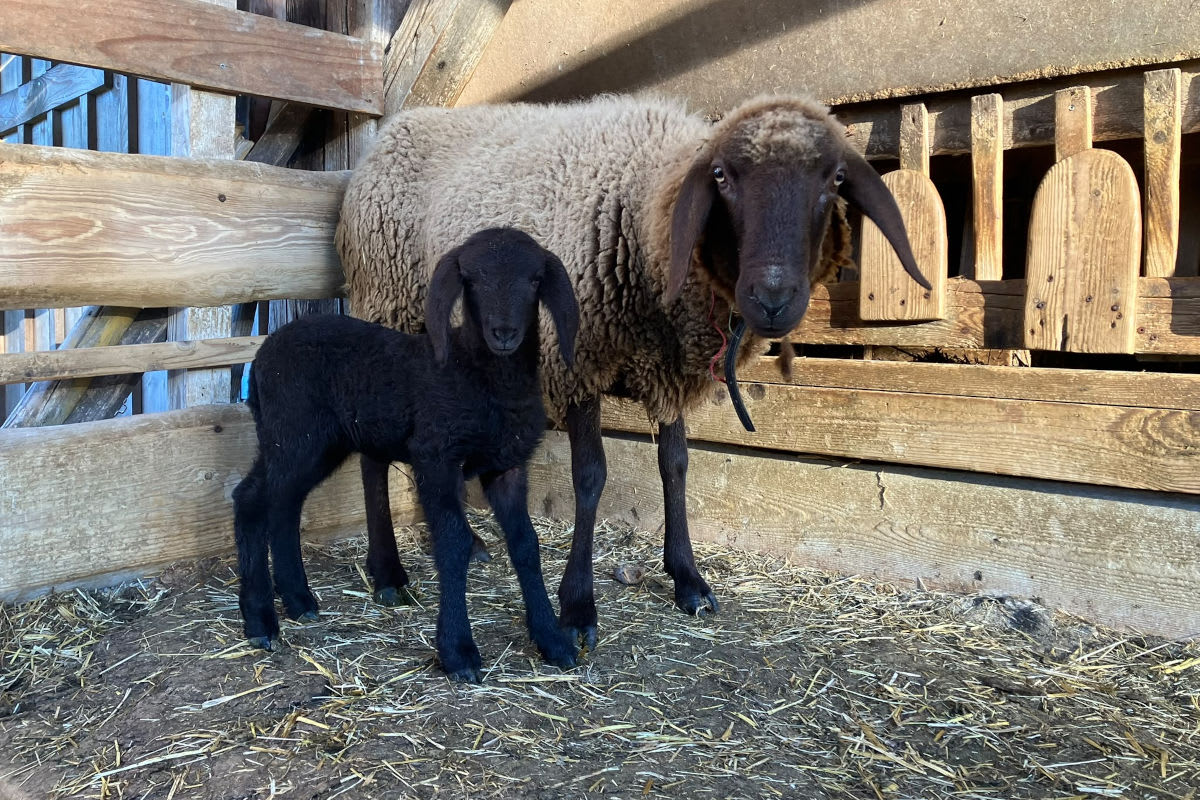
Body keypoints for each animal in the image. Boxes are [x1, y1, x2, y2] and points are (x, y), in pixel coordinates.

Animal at [233, 227, 580, 682]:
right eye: (472, 280)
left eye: (535, 279)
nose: (504, 332)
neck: (480, 377)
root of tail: (261, 355)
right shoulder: (436, 456)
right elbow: (452, 542)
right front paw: (458, 652)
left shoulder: (507, 467)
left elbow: (526, 544)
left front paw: (553, 640)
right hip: (293, 433)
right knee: (252, 500)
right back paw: (259, 619)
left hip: (310, 443)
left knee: (282, 503)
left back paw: (298, 599)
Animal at [336, 94, 928, 648]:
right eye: (721, 177)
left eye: (835, 179)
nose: (773, 299)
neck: (643, 213)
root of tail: (394, 130)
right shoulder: (577, 361)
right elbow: (590, 476)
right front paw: (577, 607)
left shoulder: (666, 372)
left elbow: (676, 466)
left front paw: (688, 580)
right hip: (387, 306)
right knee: (372, 449)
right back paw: (388, 574)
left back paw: (471, 544)